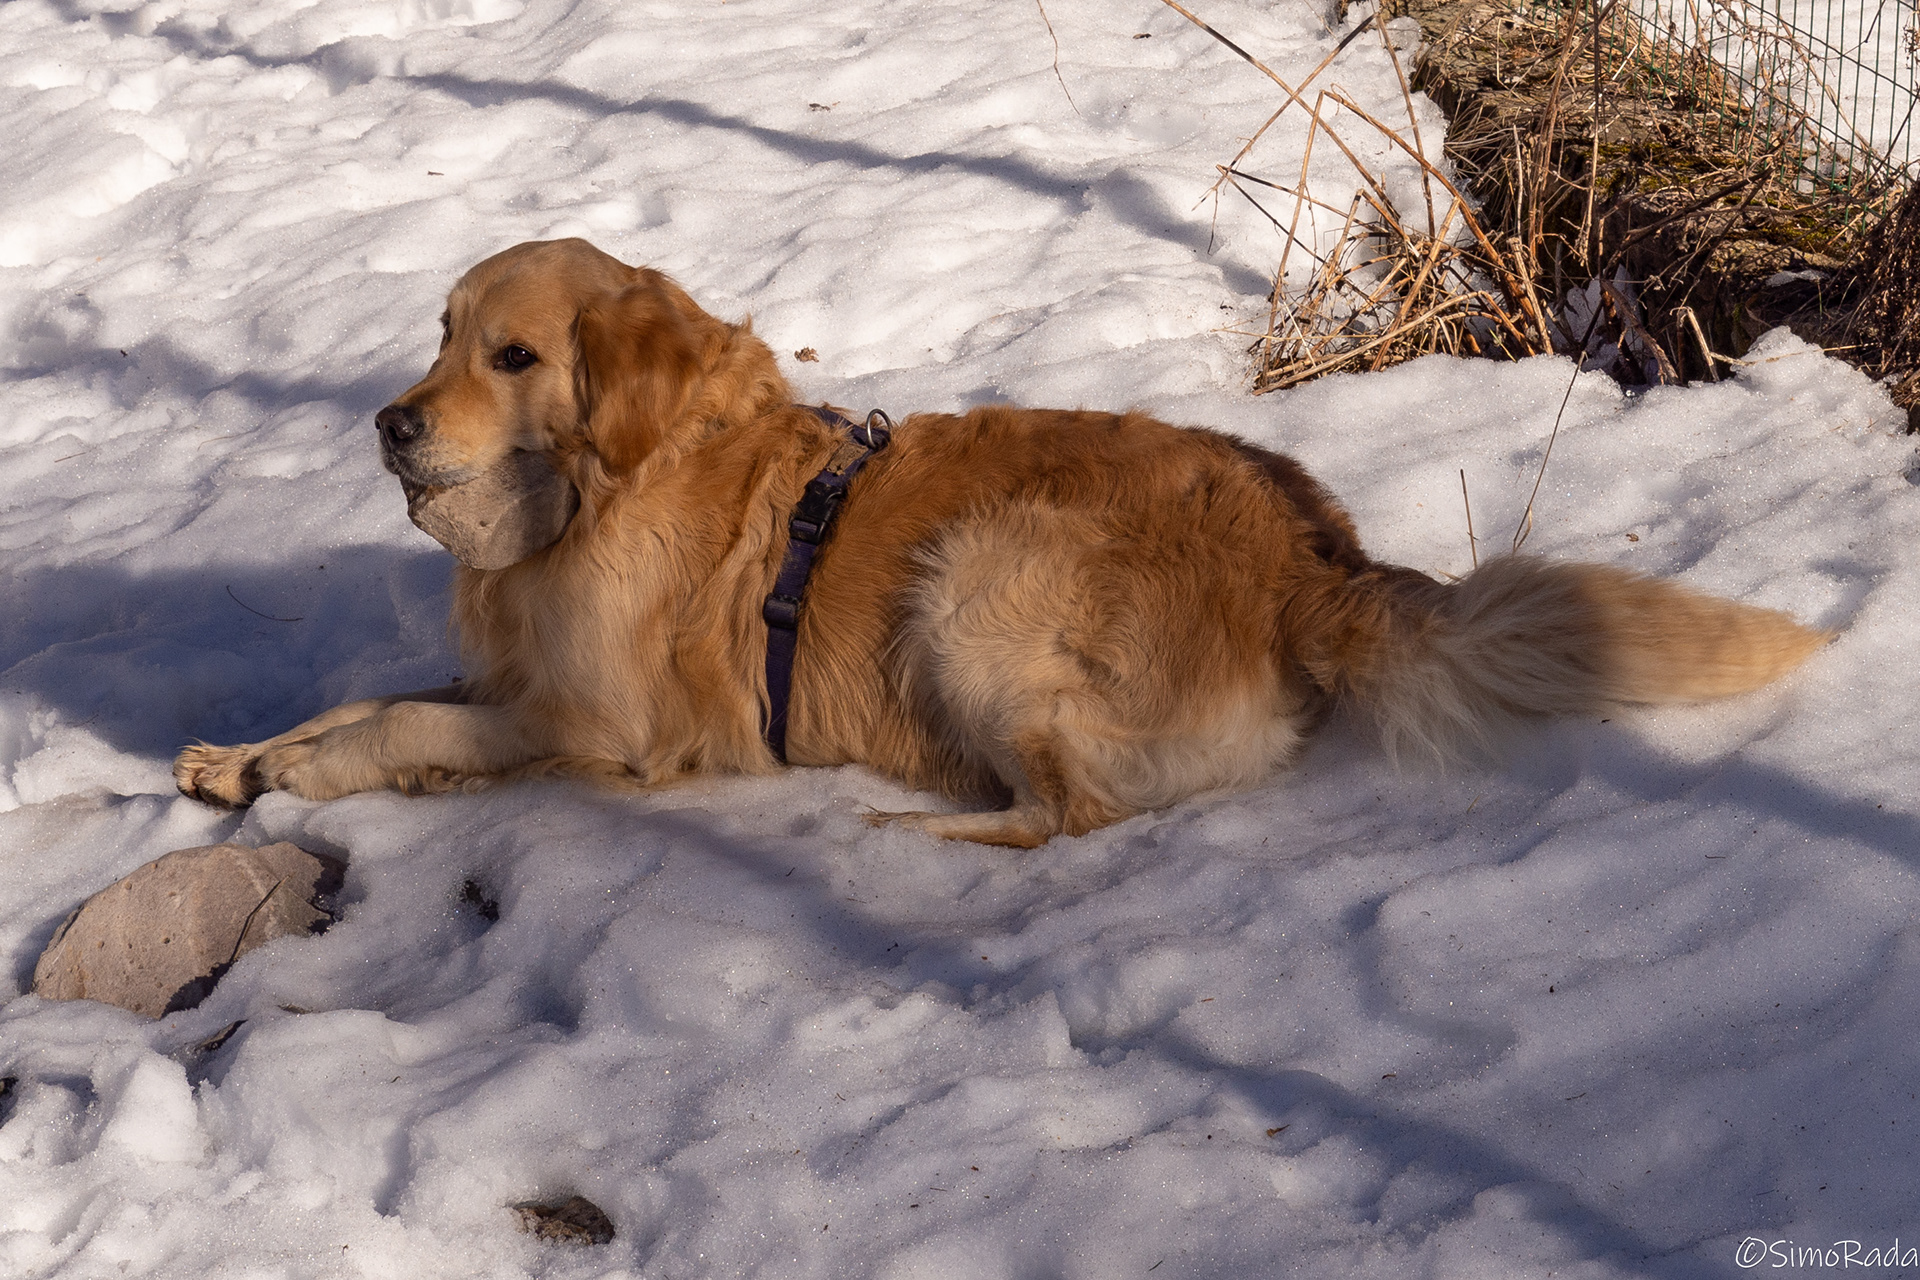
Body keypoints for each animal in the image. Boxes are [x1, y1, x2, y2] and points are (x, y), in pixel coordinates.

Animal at [173, 238, 1828, 847]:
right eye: (439, 335)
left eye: (511, 357)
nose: (389, 424)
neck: (599, 487)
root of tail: (1312, 559)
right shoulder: (516, 680)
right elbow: (371, 696)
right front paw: (242, 758)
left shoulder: (598, 724)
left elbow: (398, 726)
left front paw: (308, 770)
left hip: (972, 580)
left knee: (1069, 815)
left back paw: (912, 826)